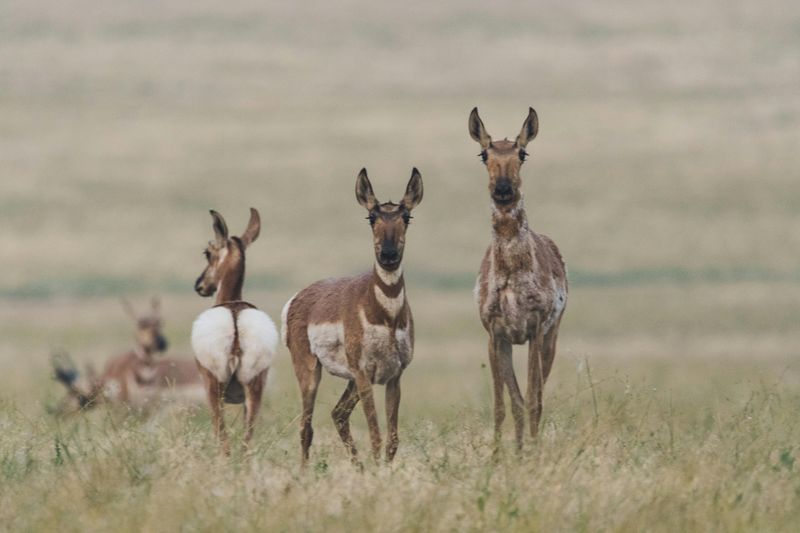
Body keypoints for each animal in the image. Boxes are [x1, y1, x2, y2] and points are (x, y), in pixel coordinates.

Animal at [191, 208, 278, 454]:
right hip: (254, 390)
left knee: (224, 440)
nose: (200, 285)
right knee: (246, 442)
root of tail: (235, 318)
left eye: (207, 252)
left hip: (214, 389)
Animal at [284, 168, 428, 464]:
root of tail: (300, 296)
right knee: (306, 427)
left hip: (349, 380)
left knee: (338, 413)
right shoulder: (364, 374)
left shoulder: (394, 376)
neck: (385, 317)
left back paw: (358, 466)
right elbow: (375, 436)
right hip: (310, 371)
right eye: (371, 216)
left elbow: (392, 440)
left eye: (406, 216)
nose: (388, 255)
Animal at [468, 107, 568, 448]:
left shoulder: (535, 329)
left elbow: (534, 400)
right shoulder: (495, 335)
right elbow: (505, 404)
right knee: (518, 401)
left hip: (551, 338)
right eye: (484, 153)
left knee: (536, 396)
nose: (503, 189)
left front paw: (533, 453)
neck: (511, 274)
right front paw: (501, 455)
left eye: (522, 152)